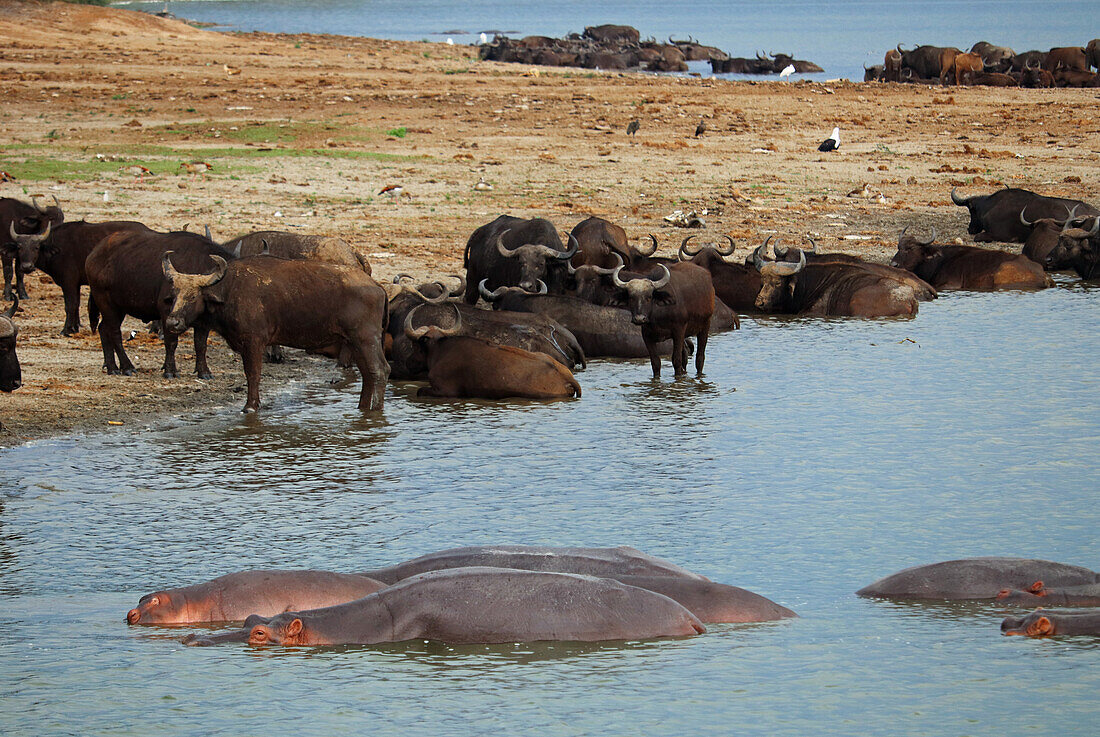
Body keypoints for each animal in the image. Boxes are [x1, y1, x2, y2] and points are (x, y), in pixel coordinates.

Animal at [160, 255, 389, 415]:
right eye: (174, 295)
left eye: (193, 296)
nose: (172, 323)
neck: (230, 291)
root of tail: (377, 286)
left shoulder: (254, 342)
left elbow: (253, 374)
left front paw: (250, 406)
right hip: (355, 342)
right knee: (368, 374)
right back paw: (362, 407)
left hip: (366, 339)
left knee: (380, 370)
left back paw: (375, 410)